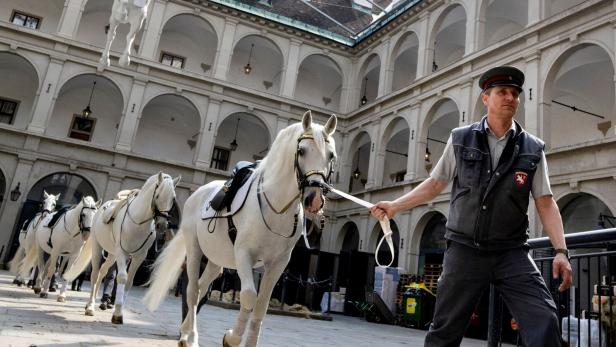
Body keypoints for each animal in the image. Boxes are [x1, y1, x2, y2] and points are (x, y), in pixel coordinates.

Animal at [65, 173, 180, 324]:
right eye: (157, 195)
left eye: (173, 198)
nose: (161, 225)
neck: (138, 222)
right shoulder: (122, 252)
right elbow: (122, 278)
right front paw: (117, 313)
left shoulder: (139, 257)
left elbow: (129, 282)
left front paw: (118, 309)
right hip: (98, 247)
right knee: (95, 274)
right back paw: (90, 306)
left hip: (112, 254)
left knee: (102, 272)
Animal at [144, 111, 336, 347]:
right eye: (301, 151)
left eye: (331, 155)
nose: (314, 198)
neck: (275, 207)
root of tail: (198, 194)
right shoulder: (245, 254)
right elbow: (248, 296)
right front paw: (232, 338)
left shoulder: (278, 264)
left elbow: (261, 305)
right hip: (195, 249)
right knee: (192, 290)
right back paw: (190, 337)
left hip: (215, 260)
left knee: (201, 288)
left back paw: (186, 332)